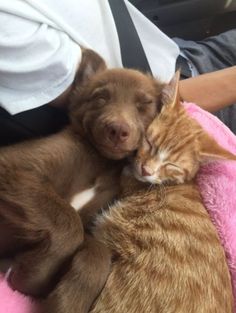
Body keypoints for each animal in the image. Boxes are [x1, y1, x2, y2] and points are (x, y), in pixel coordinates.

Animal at [0, 48, 164, 310]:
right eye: (101, 97)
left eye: (144, 105)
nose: (118, 130)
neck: (100, 162)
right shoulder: (14, 167)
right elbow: (68, 223)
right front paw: (30, 277)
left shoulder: (92, 218)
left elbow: (98, 252)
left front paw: (64, 301)